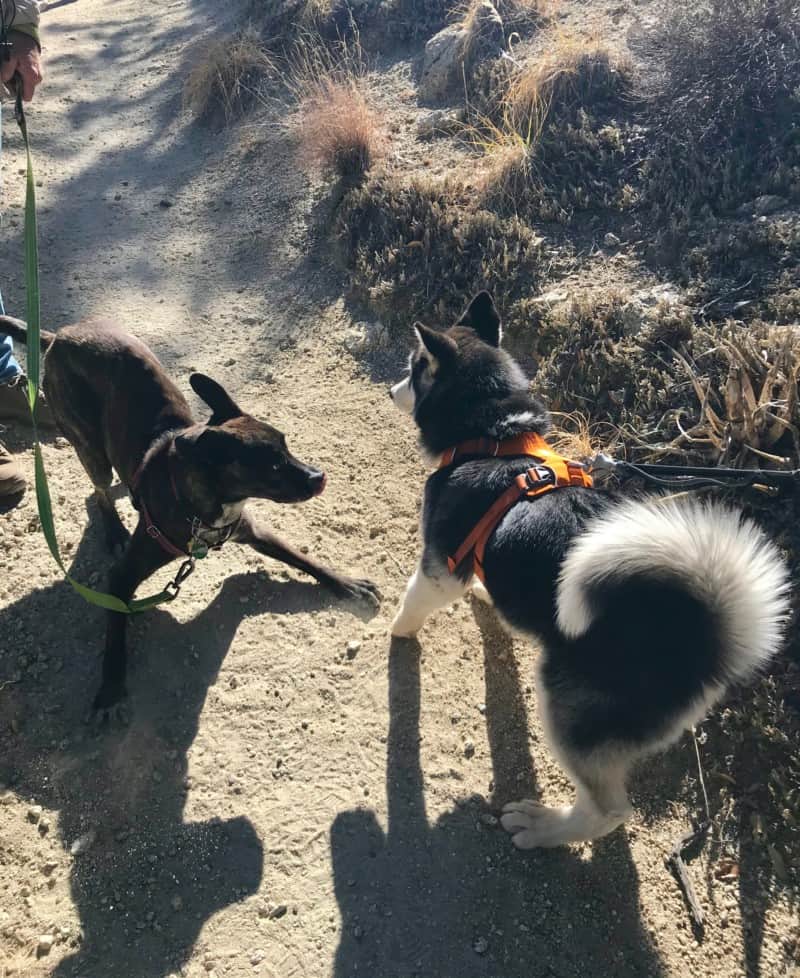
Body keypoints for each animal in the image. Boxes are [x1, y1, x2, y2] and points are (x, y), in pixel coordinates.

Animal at [2, 316, 382, 720]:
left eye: (287, 445)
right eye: (273, 466)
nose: (319, 477)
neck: (202, 503)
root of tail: (59, 336)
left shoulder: (253, 530)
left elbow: (304, 559)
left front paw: (349, 585)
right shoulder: (120, 578)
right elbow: (115, 633)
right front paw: (110, 689)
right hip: (88, 444)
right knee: (98, 489)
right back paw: (115, 529)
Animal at [390, 288, 792, 848]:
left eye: (413, 369)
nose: (390, 390)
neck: (493, 435)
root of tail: (701, 640)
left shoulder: (438, 567)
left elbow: (411, 604)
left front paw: (395, 629)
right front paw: (488, 595)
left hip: (568, 714)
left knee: (607, 811)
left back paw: (542, 827)